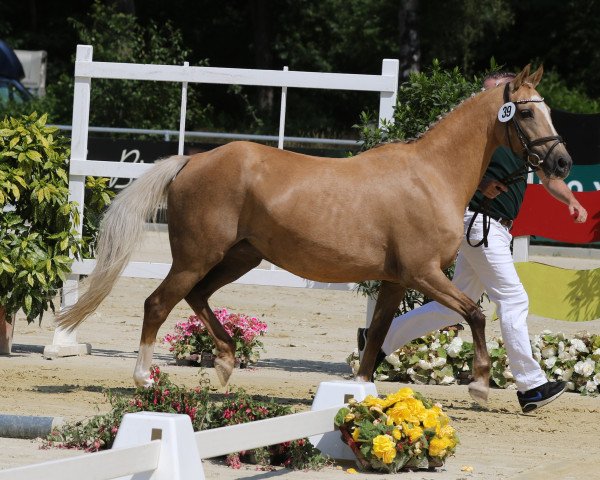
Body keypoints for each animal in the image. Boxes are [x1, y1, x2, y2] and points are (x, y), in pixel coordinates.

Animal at [57, 63, 572, 402]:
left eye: (549, 110)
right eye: (526, 113)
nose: (563, 162)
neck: (432, 175)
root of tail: (192, 161)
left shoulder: (396, 280)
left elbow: (378, 334)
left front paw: (362, 391)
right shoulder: (423, 273)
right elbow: (476, 314)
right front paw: (481, 383)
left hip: (240, 256)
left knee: (197, 297)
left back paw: (225, 361)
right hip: (196, 256)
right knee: (159, 302)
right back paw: (145, 378)